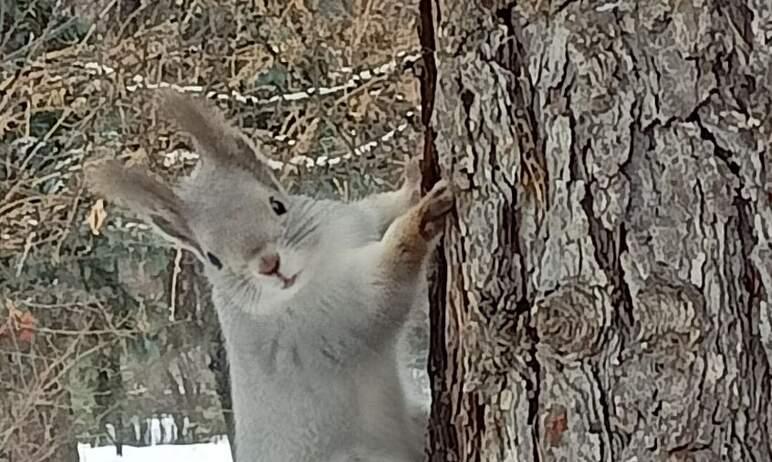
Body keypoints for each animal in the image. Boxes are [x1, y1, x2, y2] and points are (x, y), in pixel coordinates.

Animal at [86, 91, 452, 462]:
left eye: (278, 204)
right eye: (213, 259)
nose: (269, 264)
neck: (317, 264)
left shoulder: (355, 221)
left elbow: (382, 210)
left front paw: (413, 179)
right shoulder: (335, 314)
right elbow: (385, 283)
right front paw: (422, 219)